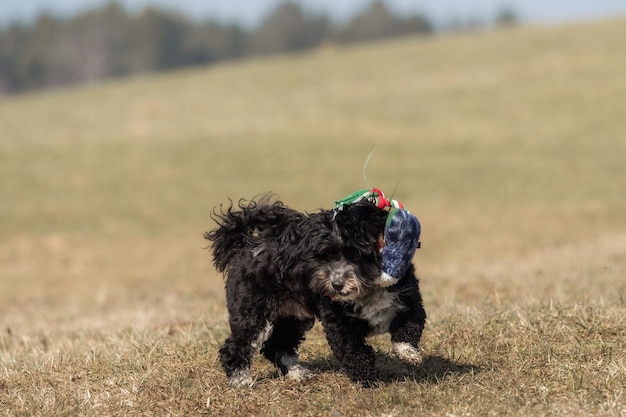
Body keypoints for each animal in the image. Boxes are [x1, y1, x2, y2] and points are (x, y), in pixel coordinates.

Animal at [204, 193, 424, 386]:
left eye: (356, 254)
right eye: (325, 256)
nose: (337, 284)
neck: (367, 291)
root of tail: (243, 248)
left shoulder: (409, 302)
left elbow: (408, 329)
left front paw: (409, 354)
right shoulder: (339, 324)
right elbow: (355, 352)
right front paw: (369, 380)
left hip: (293, 317)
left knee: (277, 346)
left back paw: (297, 373)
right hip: (253, 313)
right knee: (234, 347)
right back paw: (240, 379)